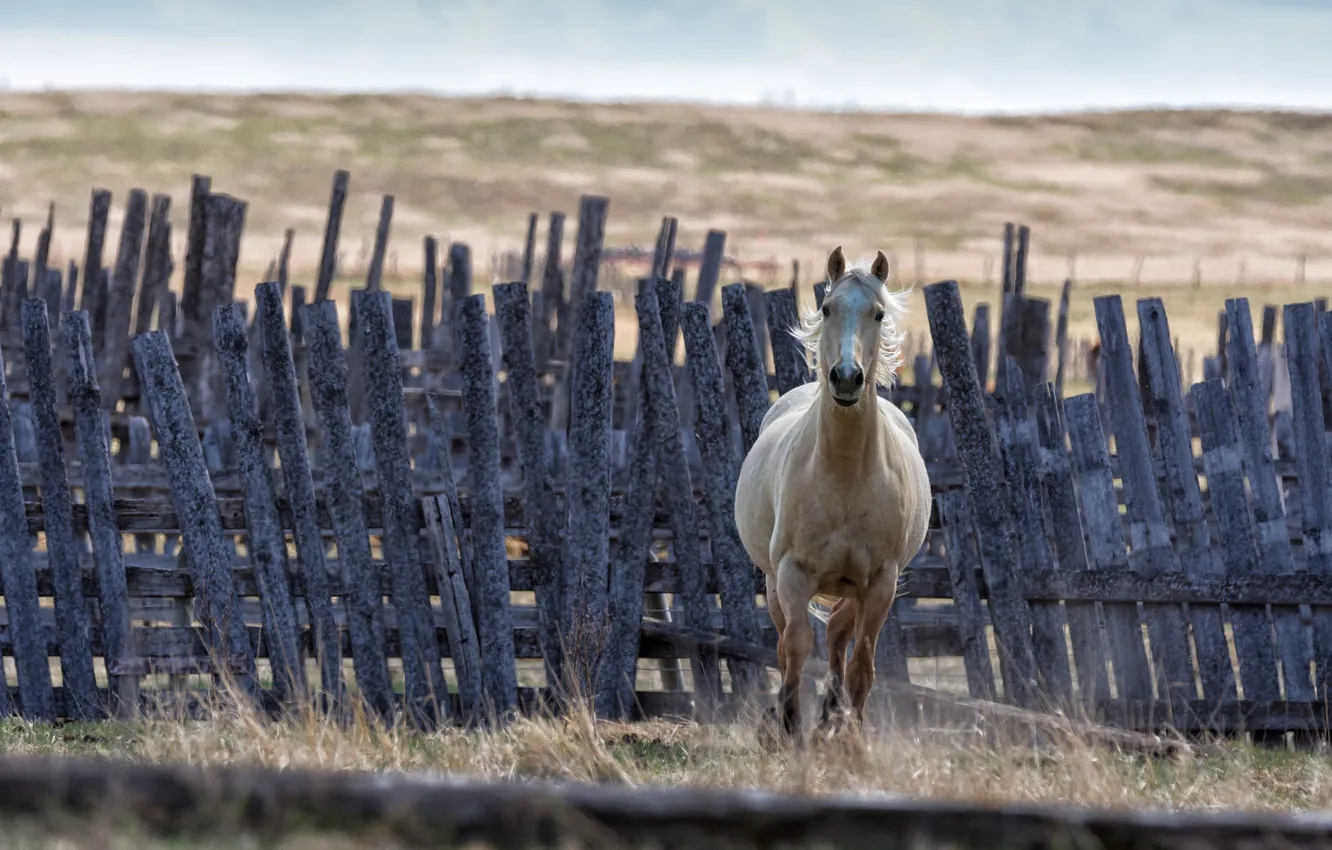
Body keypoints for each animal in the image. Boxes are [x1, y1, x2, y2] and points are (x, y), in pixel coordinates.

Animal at [734, 246, 931, 743]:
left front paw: (850, 734)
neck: (843, 475)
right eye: (827, 308)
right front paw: (787, 727)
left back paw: (831, 715)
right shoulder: (792, 573)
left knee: (840, 635)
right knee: (790, 641)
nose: (846, 378)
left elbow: (862, 662)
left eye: (878, 313)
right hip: (774, 582)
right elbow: (795, 648)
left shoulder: (879, 581)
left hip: (853, 587)